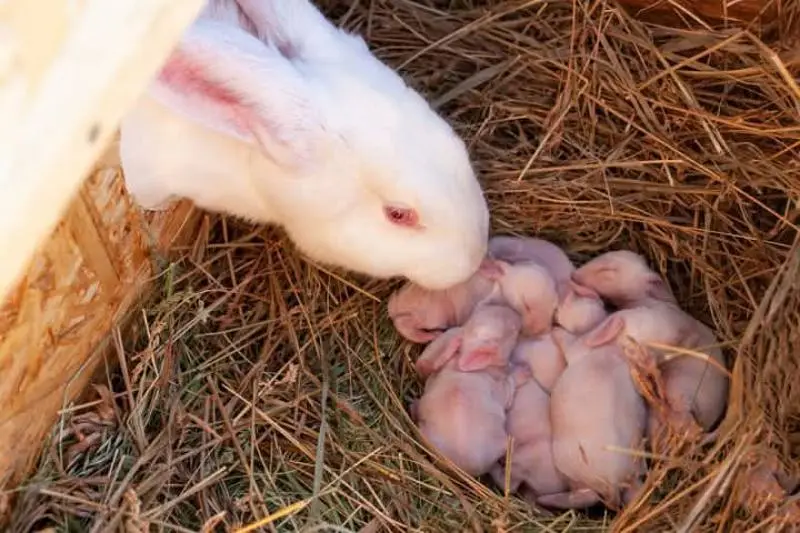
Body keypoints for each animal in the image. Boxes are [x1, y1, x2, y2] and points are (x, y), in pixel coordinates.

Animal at [411, 304, 522, 476]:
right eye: (514, 331)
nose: (515, 312)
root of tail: (460, 466)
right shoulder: (501, 386)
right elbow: (510, 386)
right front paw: (525, 370)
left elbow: (424, 367)